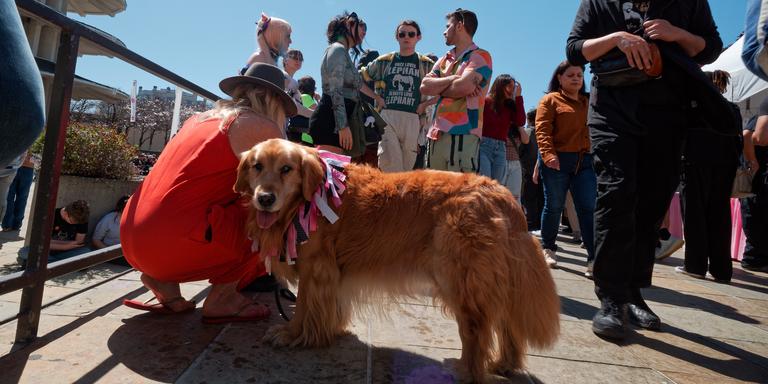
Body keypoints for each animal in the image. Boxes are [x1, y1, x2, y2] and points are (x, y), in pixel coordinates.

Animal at [234, 140, 560, 382]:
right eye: (257, 166)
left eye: (286, 169)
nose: (264, 198)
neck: (308, 199)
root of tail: (503, 194)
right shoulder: (332, 274)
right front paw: (330, 330)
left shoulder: (316, 268)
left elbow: (303, 308)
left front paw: (292, 334)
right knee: (506, 325)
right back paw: (504, 364)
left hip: (460, 280)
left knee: (475, 331)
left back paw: (466, 371)